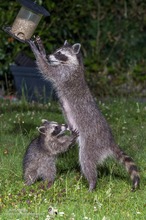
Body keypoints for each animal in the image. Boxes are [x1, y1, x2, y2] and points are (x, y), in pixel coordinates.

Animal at [27, 37, 140, 191]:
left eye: (60, 53)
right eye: (56, 51)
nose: (50, 56)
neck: (76, 64)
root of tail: (109, 141)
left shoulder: (65, 74)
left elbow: (47, 69)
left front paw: (36, 50)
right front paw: (41, 48)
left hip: (92, 143)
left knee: (87, 161)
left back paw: (92, 183)